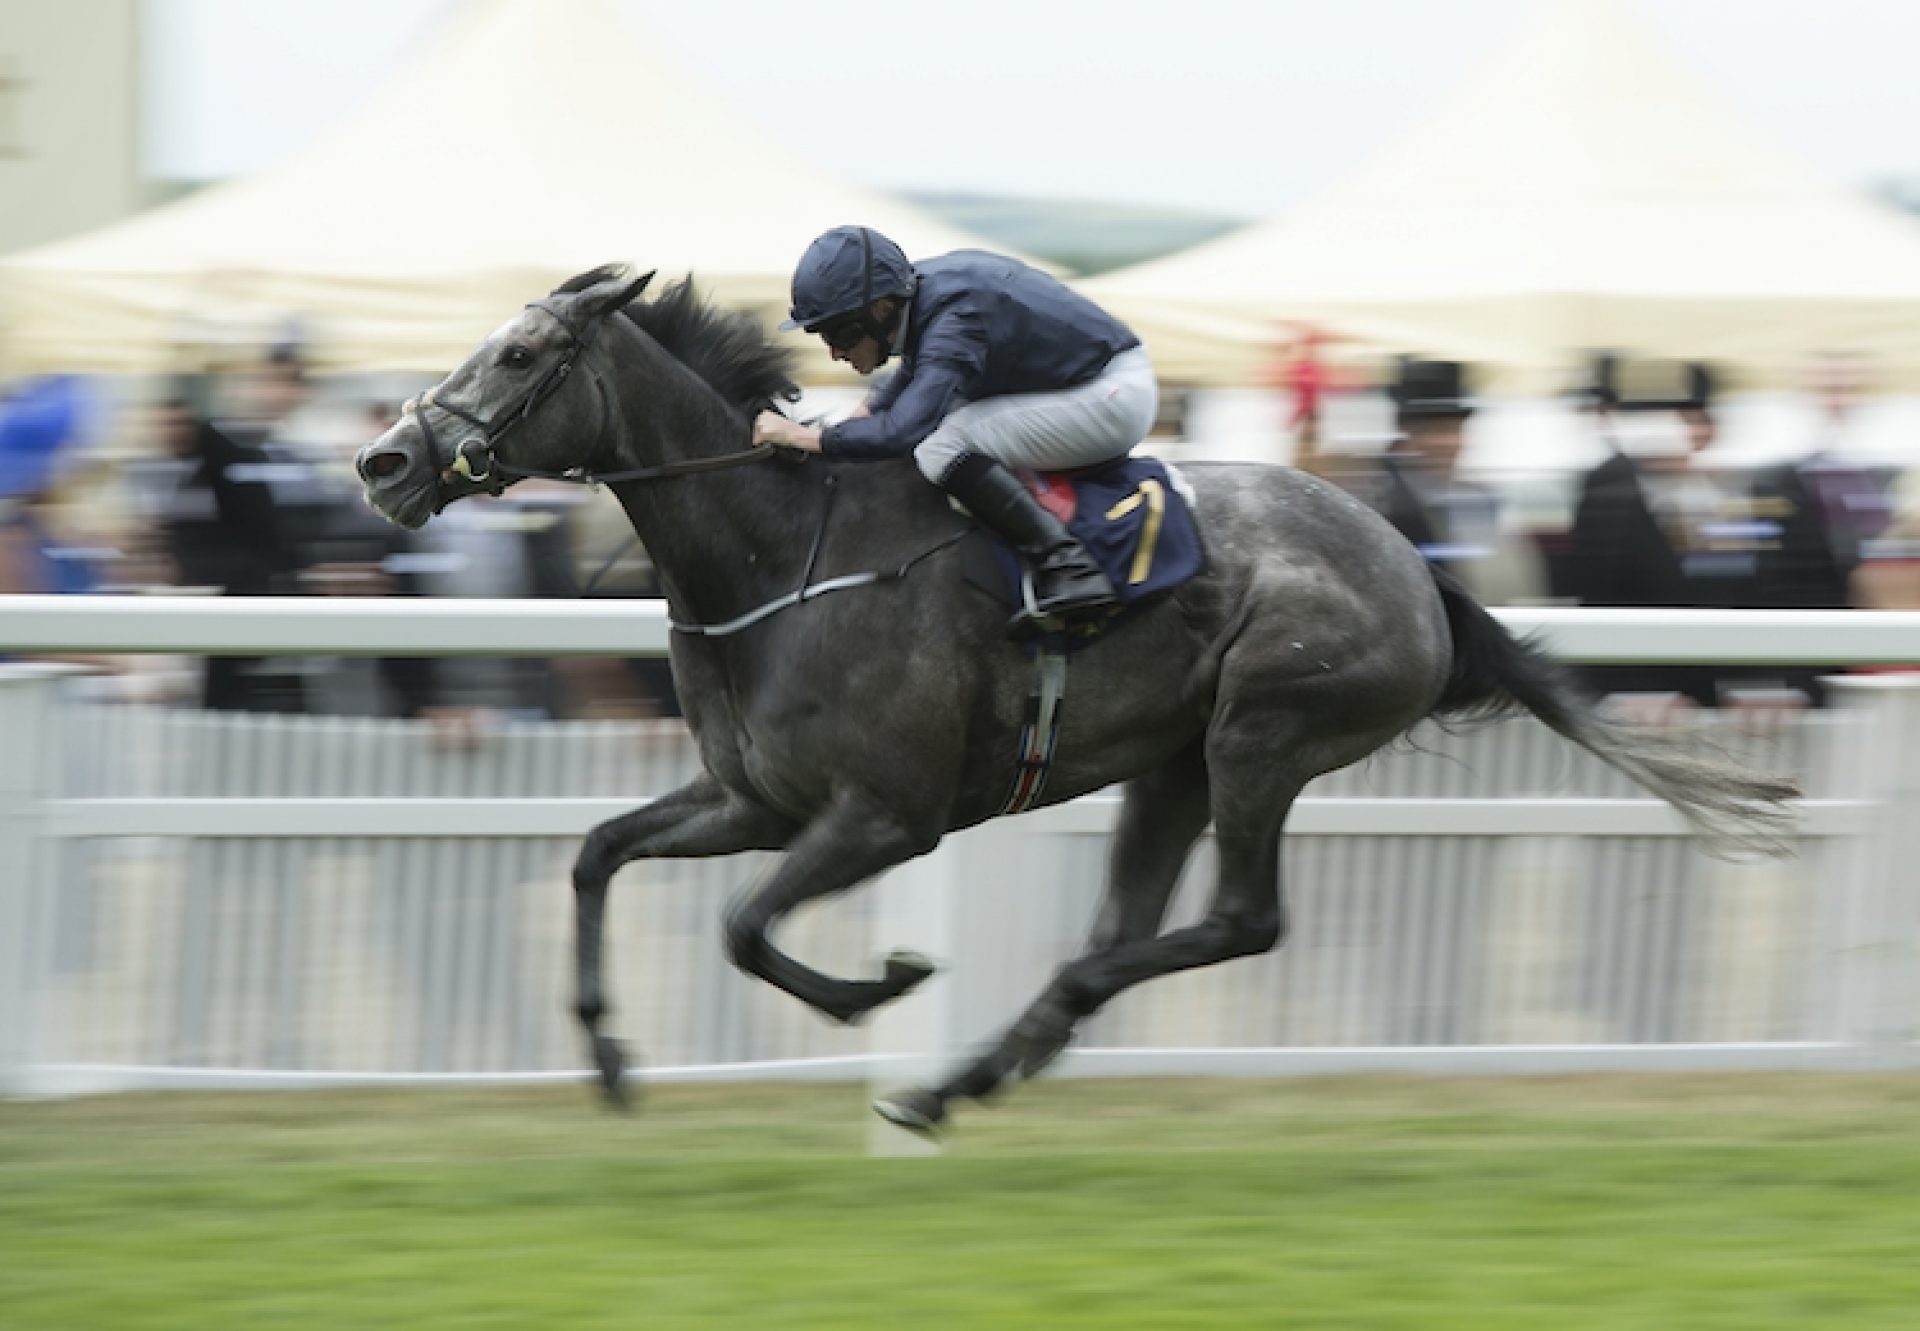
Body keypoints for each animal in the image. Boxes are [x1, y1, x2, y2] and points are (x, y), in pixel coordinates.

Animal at [357, 266, 1797, 1129]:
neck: (780, 551)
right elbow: (601, 853)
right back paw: (983, 1064)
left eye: (522, 352)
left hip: (1263, 733)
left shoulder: (883, 815)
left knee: (1242, 920)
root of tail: (1419, 569)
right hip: (1172, 762)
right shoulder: (751, 798)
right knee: (1140, 919)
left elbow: (744, 927)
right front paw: (607, 1055)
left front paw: (882, 985)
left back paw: (984, 1053)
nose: (383, 461)